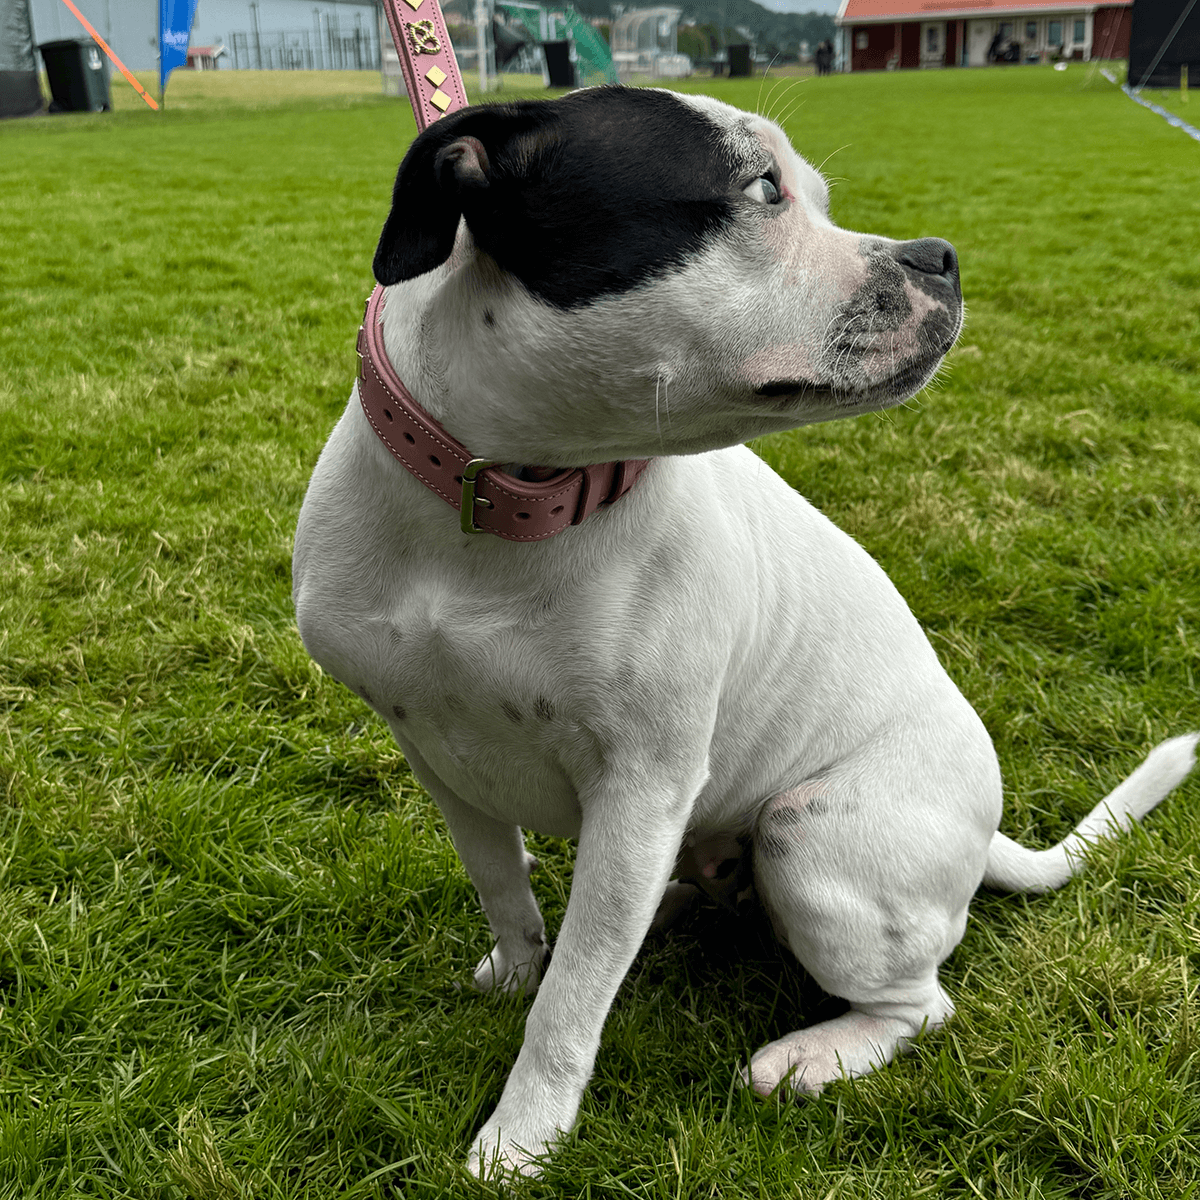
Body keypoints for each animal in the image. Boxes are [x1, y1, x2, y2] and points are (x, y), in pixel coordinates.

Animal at [292, 88, 1200, 1176]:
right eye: (765, 190)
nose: (939, 255)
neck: (504, 502)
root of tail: (987, 835)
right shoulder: (441, 757)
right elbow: (506, 892)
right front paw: (519, 966)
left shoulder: (641, 786)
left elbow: (572, 1003)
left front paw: (523, 1135)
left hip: (811, 842)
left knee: (921, 1004)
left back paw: (810, 1056)